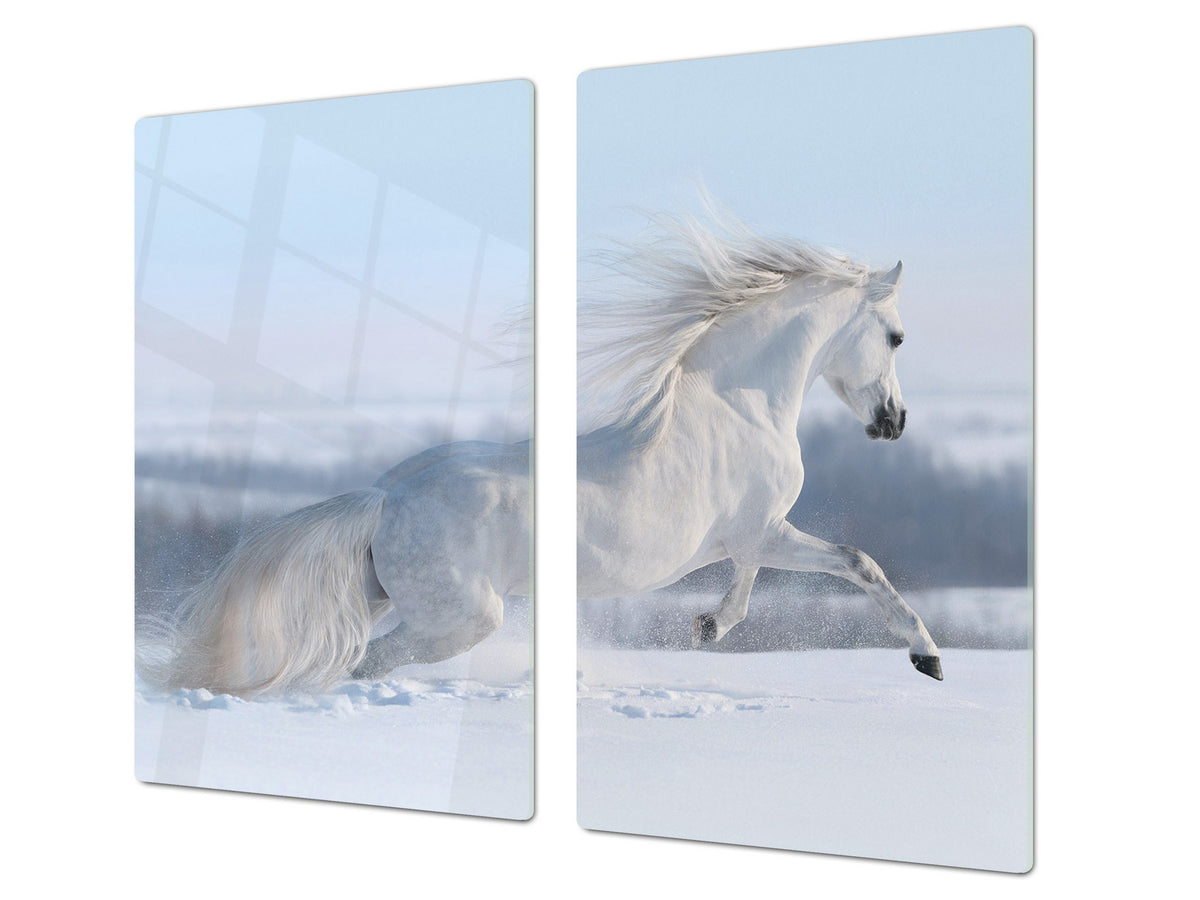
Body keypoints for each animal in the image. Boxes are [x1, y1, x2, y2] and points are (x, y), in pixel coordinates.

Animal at [576, 212, 942, 680]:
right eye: (897, 338)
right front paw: (926, 654)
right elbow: (860, 562)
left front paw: (709, 626)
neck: (739, 408)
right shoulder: (761, 532)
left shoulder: (757, 530)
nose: (895, 421)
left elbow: (747, 580)